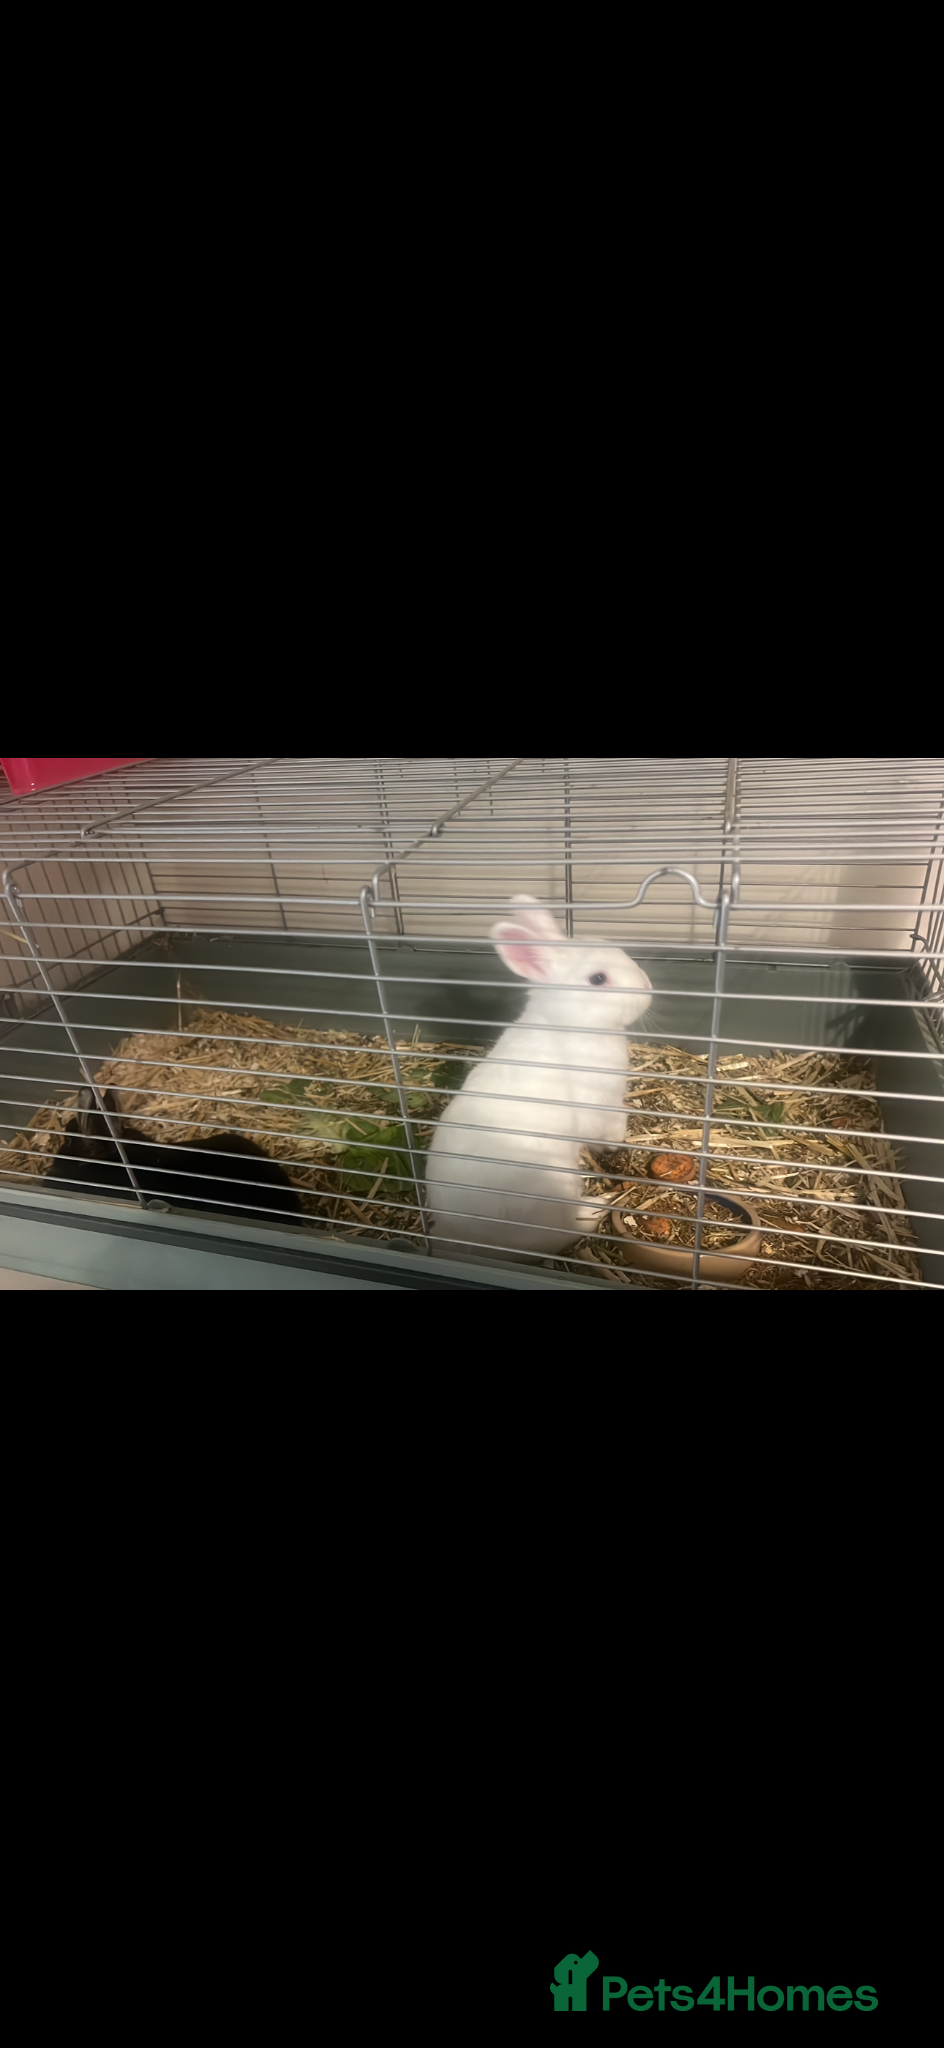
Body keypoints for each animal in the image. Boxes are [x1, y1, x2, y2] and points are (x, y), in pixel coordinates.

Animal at [425, 896, 652, 1260]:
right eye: (598, 978)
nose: (647, 986)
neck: (568, 1026)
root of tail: (465, 1236)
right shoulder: (600, 1106)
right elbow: (611, 1127)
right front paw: (616, 1144)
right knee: (559, 1235)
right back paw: (596, 1207)